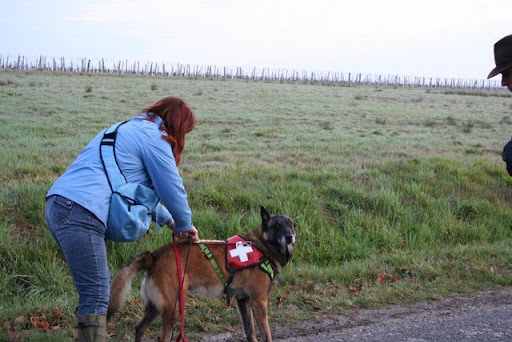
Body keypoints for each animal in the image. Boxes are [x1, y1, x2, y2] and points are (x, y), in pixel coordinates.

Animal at [108, 206, 296, 342]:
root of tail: (153, 256)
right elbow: (266, 334)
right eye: (277, 225)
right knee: (162, 337)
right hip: (174, 308)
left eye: (292, 225)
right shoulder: (259, 302)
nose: (290, 237)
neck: (261, 246)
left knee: (139, 328)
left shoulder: (243, 301)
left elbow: (250, 333)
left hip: (156, 307)